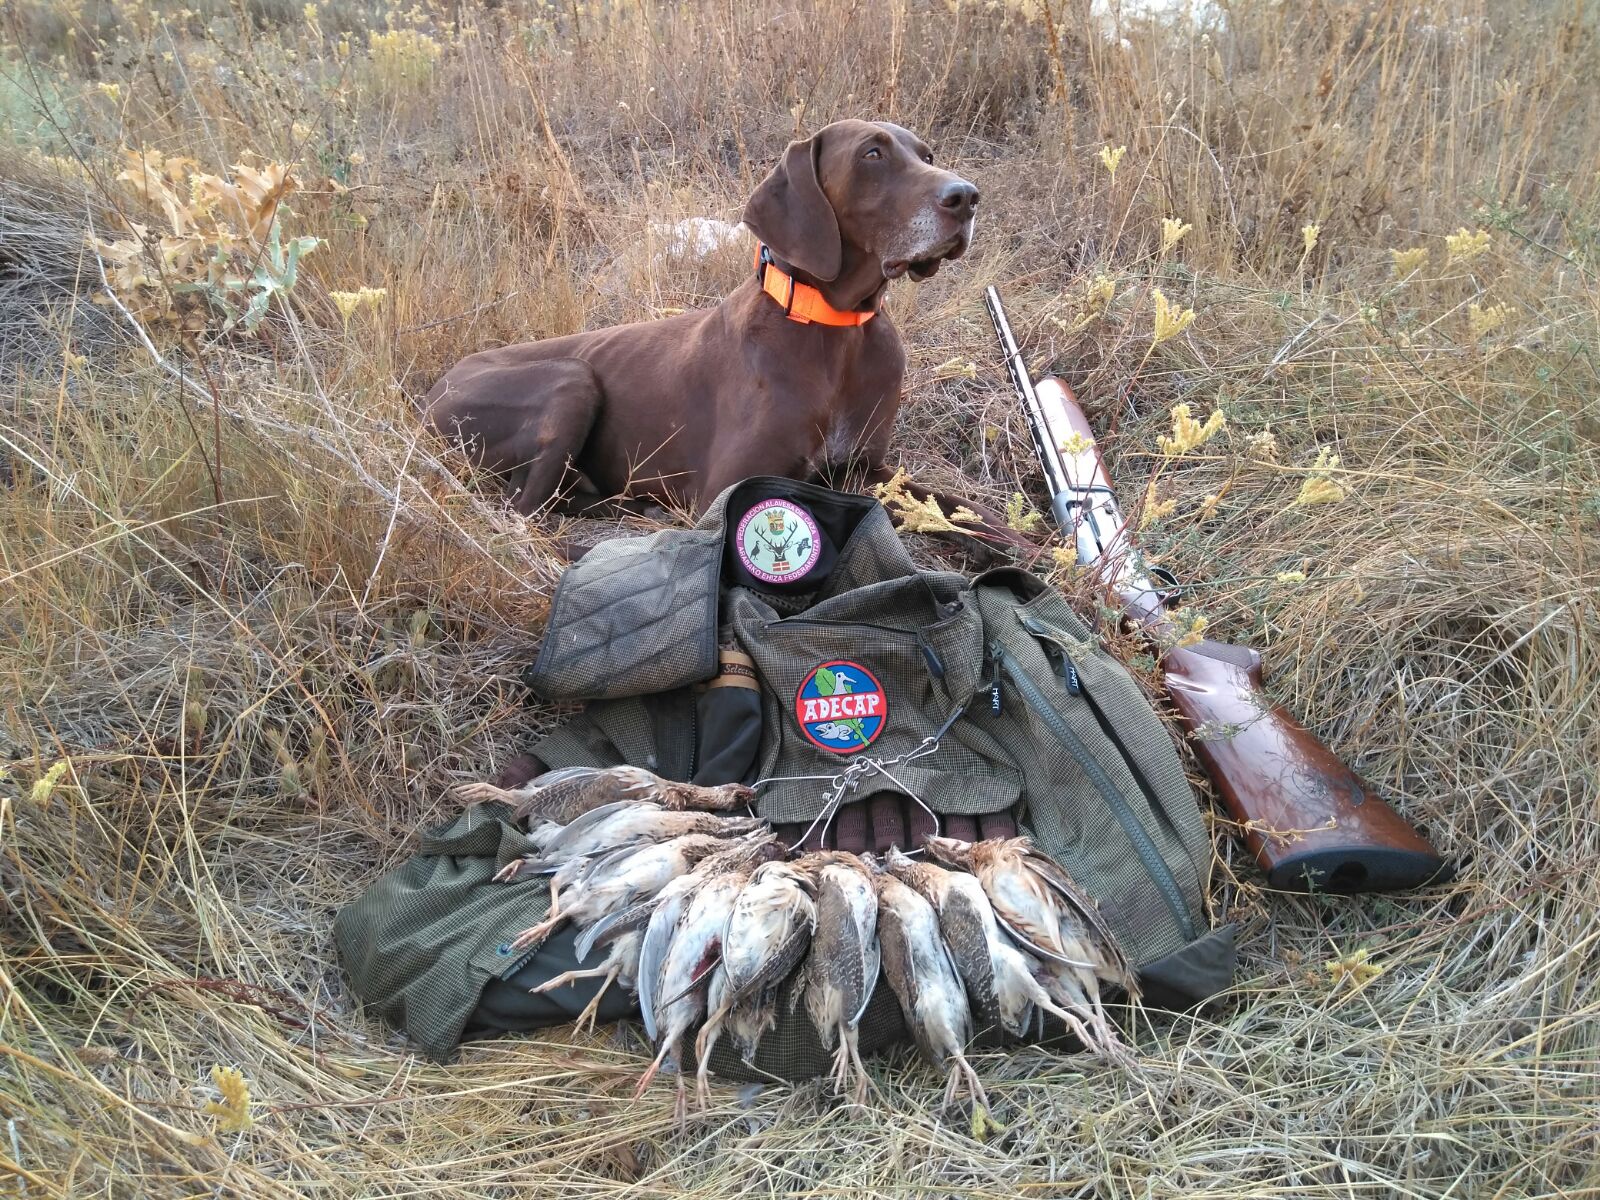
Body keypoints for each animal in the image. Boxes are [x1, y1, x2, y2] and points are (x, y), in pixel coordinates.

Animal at [425, 120, 998, 528]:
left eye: (927, 156)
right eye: (871, 154)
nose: (967, 196)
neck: (837, 327)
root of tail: (431, 391)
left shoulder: (869, 469)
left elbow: (970, 511)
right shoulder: (731, 487)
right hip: (573, 378)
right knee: (524, 511)